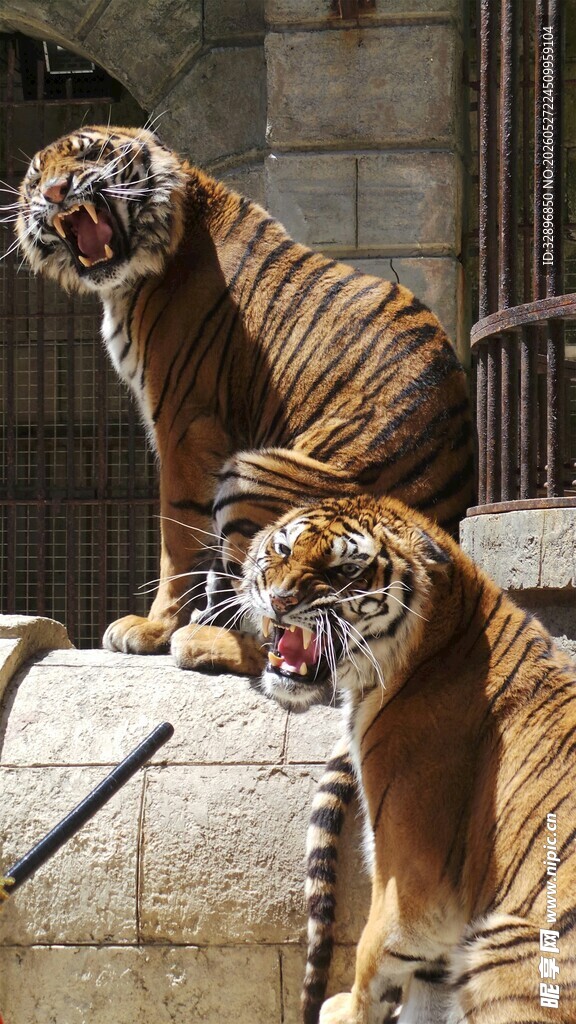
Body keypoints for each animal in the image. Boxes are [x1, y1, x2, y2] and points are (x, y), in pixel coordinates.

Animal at [16, 123, 473, 673]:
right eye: (36, 177)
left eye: (89, 154)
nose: (54, 192)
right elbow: (218, 570)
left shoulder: (185, 424)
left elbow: (178, 536)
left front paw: (154, 628)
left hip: (252, 473)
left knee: (292, 634)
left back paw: (196, 640)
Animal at [241, 494, 576, 1024]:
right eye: (283, 549)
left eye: (345, 570)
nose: (280, 600)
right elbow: (427, 991)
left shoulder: (413, 872)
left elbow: (375, 952)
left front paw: (345, 1011)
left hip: (503, 942)